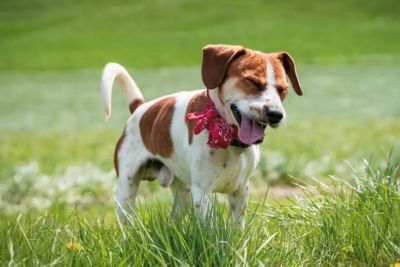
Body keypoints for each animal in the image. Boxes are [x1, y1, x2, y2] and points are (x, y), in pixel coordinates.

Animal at [101, 44, 302, 228]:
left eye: (283, 89)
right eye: (252, 82)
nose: (276, 114)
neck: (229, 139)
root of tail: (140, 108)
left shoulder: (241, 189)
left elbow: (238, 227)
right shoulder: (202, 191)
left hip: (182, 192)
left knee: (174, 216)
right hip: (126, 188)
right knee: (126, 219)